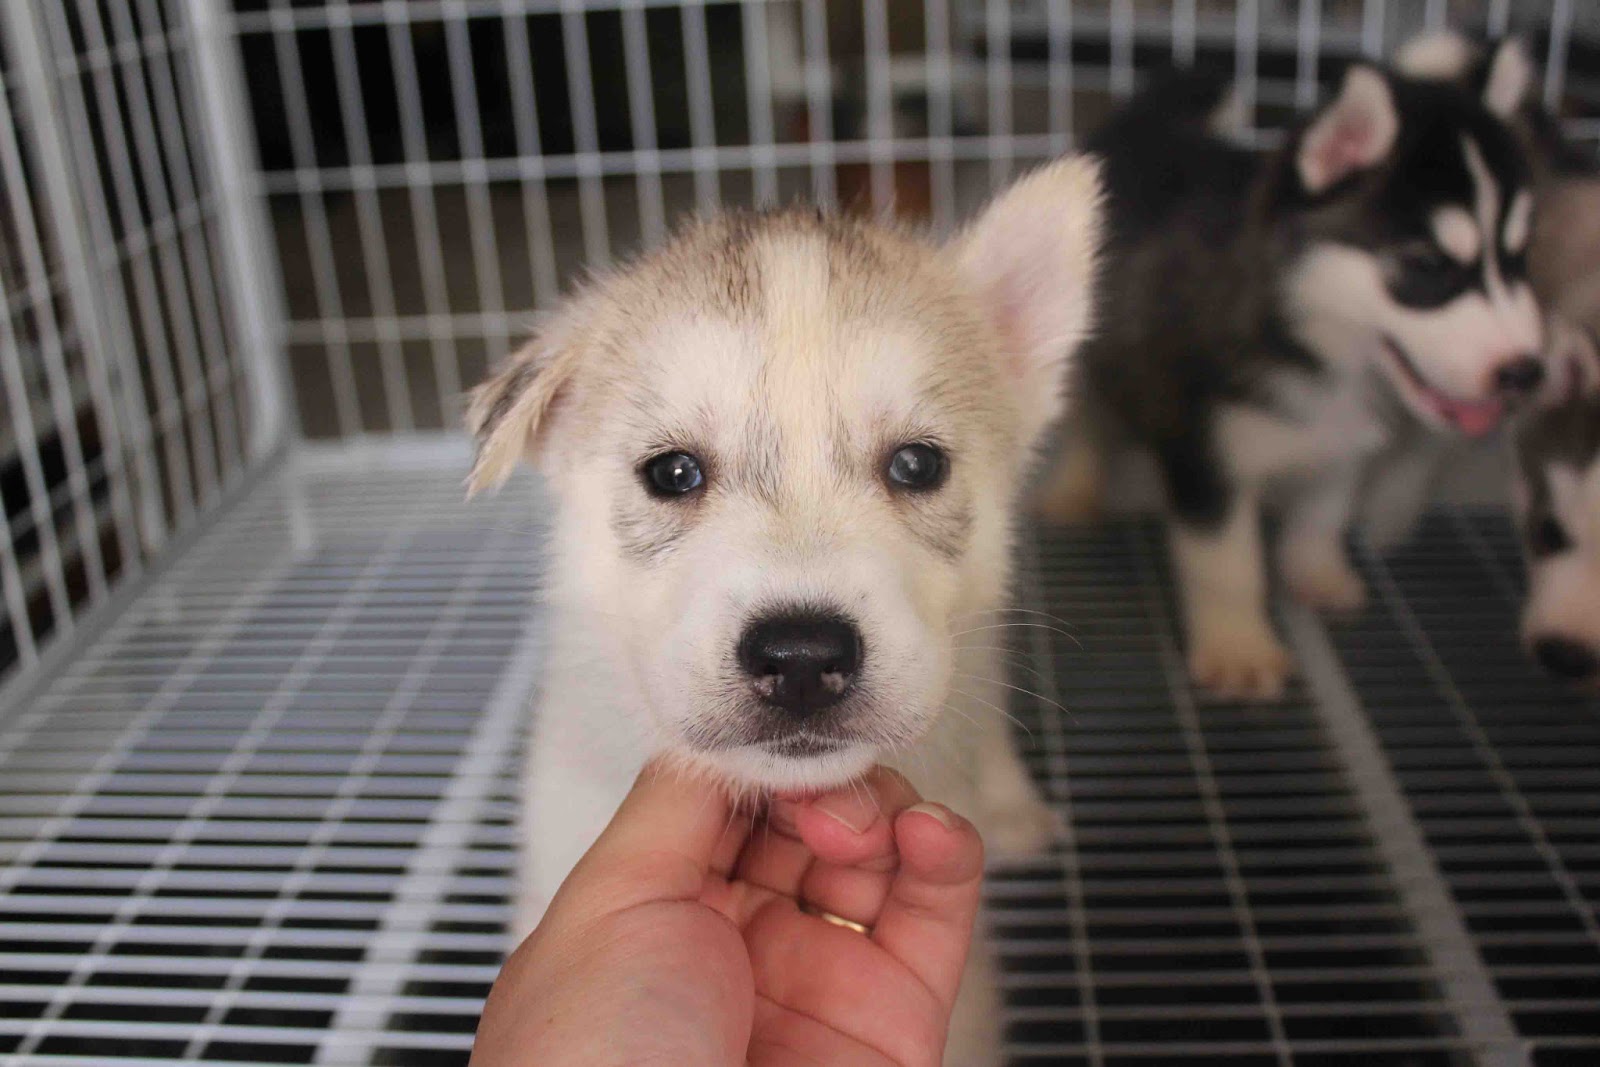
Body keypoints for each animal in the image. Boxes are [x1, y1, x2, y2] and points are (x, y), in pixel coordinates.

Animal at [1036, 49, 1548, 700]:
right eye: (1427, 265)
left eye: (1519, 258)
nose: (1526, 372)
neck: (1311, 341)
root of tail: (1143, 126)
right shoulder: (1204, 450)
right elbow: (1226, 561)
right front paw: (1239, 648)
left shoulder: (1345, 439)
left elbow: (1325, 508)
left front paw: (1316, 573)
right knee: (1087, 419)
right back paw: (1074, 490)